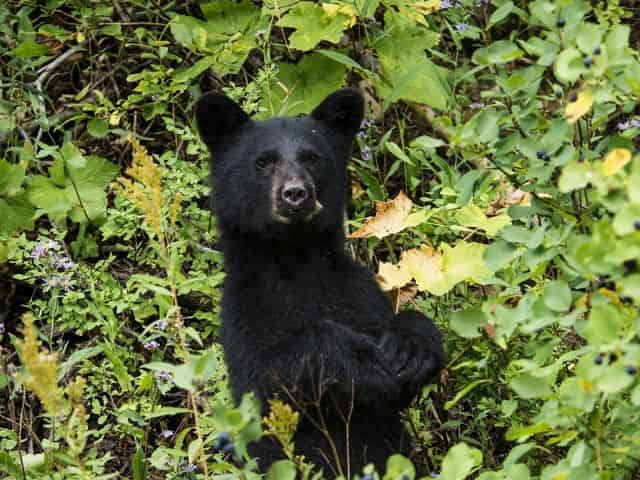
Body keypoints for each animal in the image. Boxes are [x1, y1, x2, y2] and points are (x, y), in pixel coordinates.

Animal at [195, 89, 444, 476]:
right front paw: (360, 361)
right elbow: (268, 380)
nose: (296, 193)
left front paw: (410, 348)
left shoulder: (356, 291)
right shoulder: (245, 313)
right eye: (262, 162)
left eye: (312, 158)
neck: (296, 259)